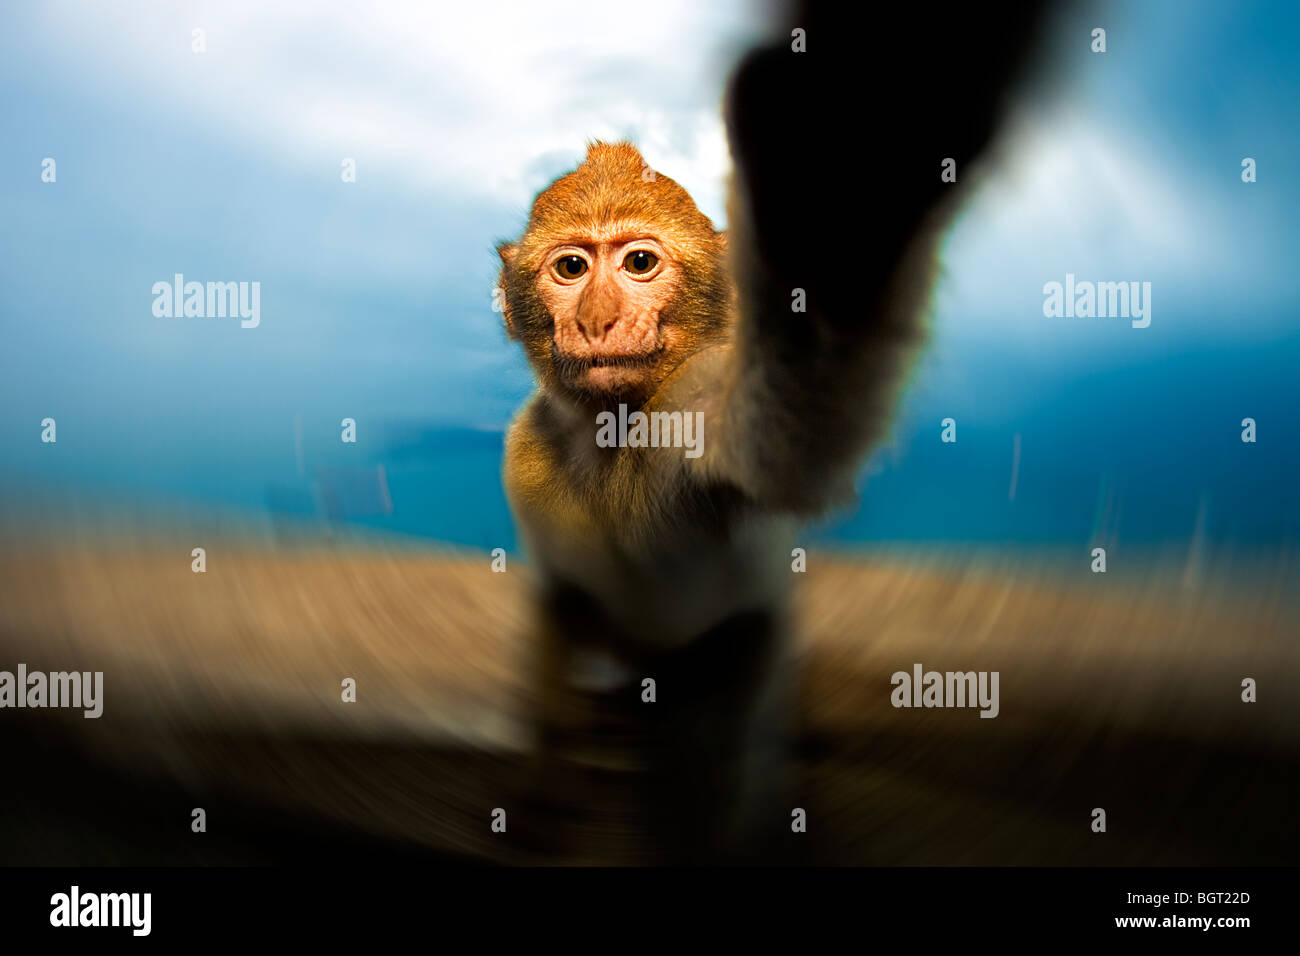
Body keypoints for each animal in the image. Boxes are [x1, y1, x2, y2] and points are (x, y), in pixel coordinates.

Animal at [495, 2, 1052, 862]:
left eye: (640, 263)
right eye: (570, 269)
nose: (596, 319)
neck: (613, 434)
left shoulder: (693, 413)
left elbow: (791, 438)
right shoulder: (526, 455)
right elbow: (559, 597)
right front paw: (545, 766)